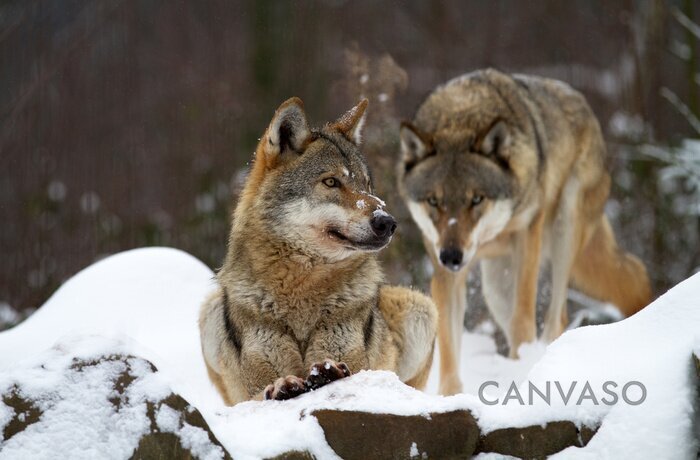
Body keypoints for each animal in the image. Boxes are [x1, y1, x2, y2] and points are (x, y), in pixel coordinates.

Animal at [198, 98, 438, 406]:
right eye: (331, 182)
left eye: (366, 185)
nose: (387, 222)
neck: (302, 291)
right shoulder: (252, 387)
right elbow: (262, 391)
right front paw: (283, 385)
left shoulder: (353, 361)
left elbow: (349, 369)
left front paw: (327, 372)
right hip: (210, 310)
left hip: (421, 308)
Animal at [396, 69, 652, 396]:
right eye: (433, 201)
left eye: (476, 199)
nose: (451, 256)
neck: (463, 116)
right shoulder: (445, 270)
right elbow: (449, 344)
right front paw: (450, 396)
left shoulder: (528, 240)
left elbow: (522, 321)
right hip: (495, 287)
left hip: (564, 228)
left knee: (558, 317)